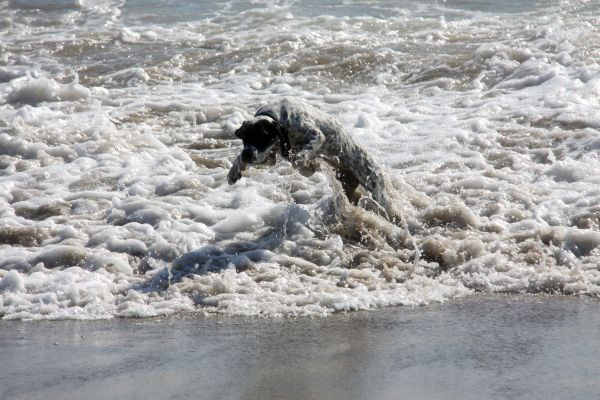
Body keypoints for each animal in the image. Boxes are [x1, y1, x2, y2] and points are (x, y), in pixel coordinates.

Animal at [227, 95, 406, 223]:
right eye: (244, 137)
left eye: (262, 136)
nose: (247, 154)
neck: (278, 116)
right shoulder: (268, 157)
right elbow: (240, 158)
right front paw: (234, 171)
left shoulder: (316, 136)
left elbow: (298, 159)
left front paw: (309, 166)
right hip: (347, 187)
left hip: (376, 189)